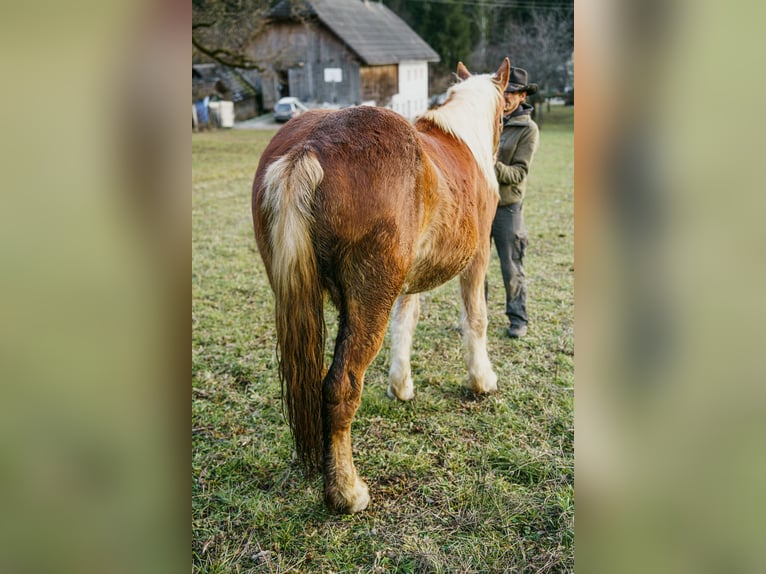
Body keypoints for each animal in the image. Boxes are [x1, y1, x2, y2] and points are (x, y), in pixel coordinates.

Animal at [252, 60, 512, 516]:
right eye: (503, 116)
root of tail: (311, 146)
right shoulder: (478, 259)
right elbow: (475, 319)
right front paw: (482, 380)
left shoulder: (410, 280)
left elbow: (405, 323)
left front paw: (401, 385)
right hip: (368, 301)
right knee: (340, 387)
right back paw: (347, 492)